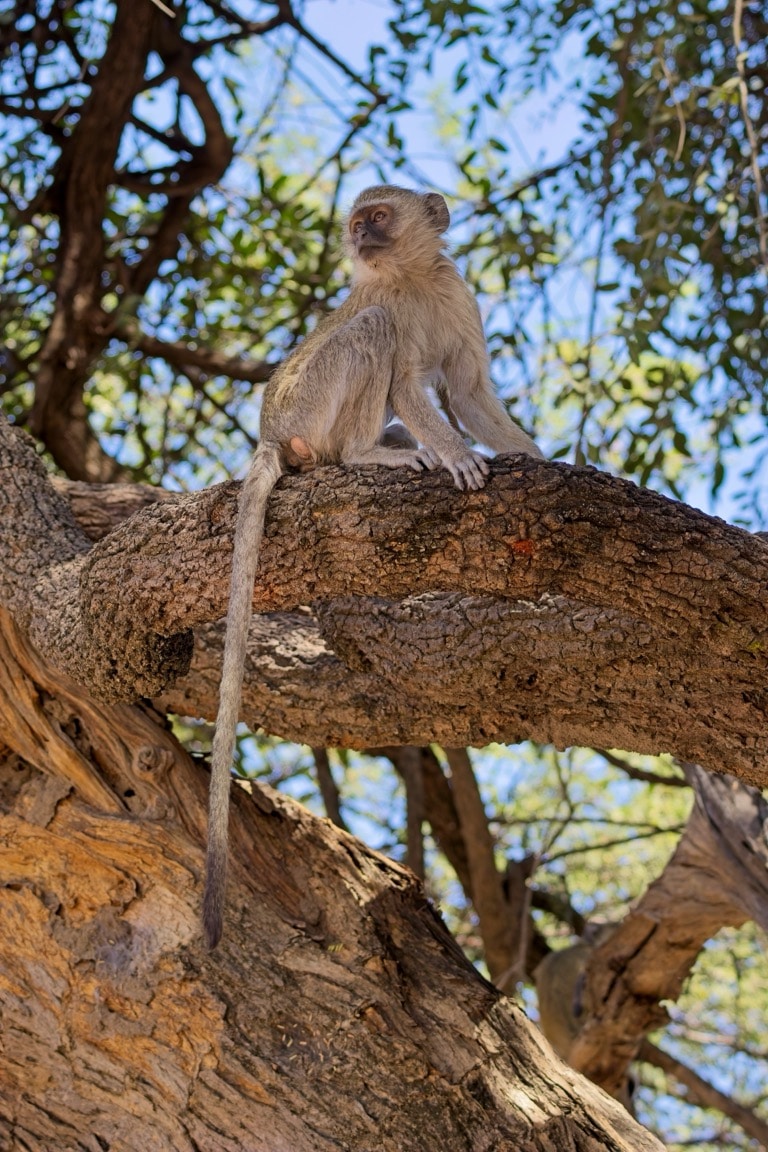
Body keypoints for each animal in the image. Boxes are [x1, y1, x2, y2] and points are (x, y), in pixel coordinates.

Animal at [203, 185, 543, 949]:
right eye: (357, 222)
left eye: (378, 217)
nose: (359, 236)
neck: (410, 277)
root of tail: (267, 433)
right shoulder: (396, 304)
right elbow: (415, 386)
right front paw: (457, 456)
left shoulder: (455, 292)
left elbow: (469, 391)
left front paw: (545, 459)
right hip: (310, 404)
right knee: (375, 333)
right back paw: (373, 454)